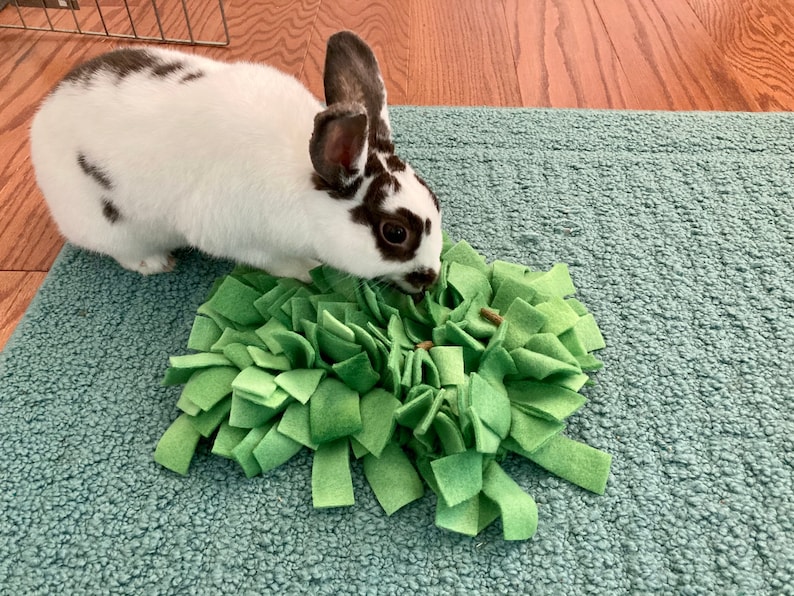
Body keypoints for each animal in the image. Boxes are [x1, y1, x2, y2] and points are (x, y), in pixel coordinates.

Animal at [29, 31, 442, 293]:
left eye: (435, 201)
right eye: (395, 233)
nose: (432, 277)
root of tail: (42, 116)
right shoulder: (240, 239)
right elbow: (279, 263)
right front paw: (310, 271)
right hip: (112, 227)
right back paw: (155, 263)